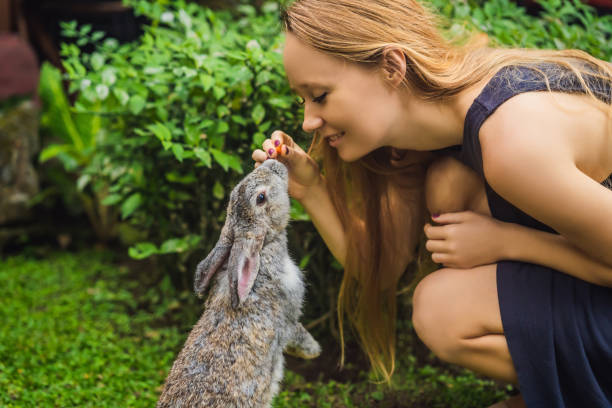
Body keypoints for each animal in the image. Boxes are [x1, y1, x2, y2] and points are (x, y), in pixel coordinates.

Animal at [157, 159, 320, 408]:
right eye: (261, 198)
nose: (272, 163)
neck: (263, 249)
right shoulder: (289, 317)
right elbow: (297, 332)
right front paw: (313, 351)